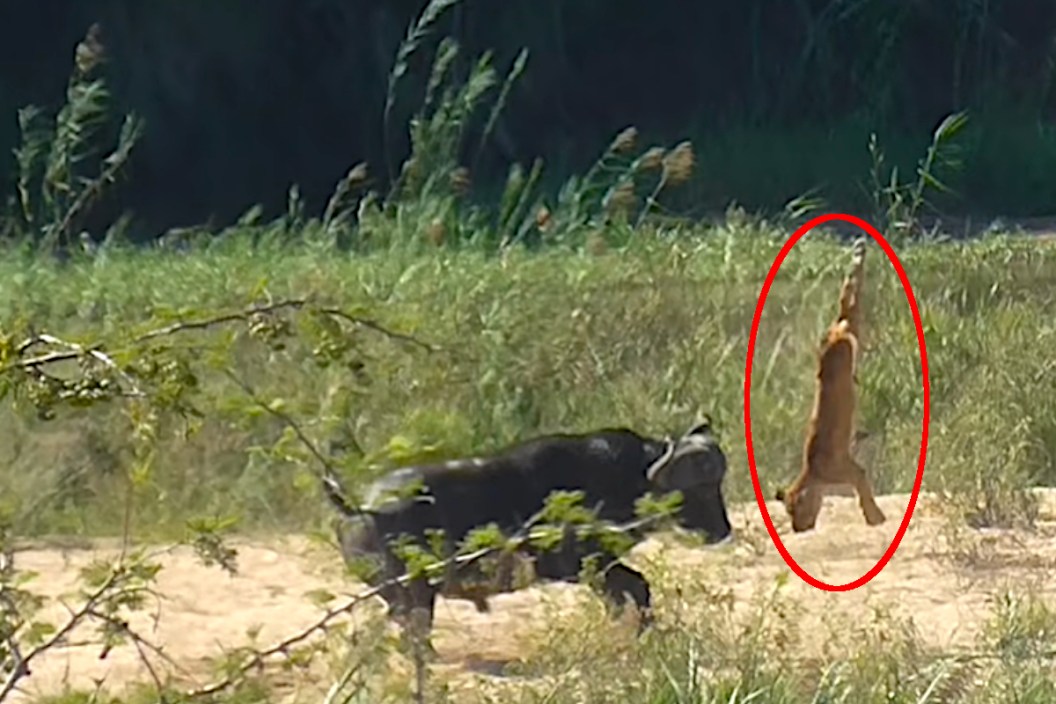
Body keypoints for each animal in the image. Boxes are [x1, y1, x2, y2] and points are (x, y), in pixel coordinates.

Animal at [774, 238, 886, 532]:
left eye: (795, 510)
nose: (797, 528)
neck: (814, 474)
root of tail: (831, 335)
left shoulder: (850, 468)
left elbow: (862, 484)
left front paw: (874, 516)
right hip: (849, 326)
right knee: (850, 297)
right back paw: (860, 251)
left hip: (843, 341)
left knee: (849, 303)